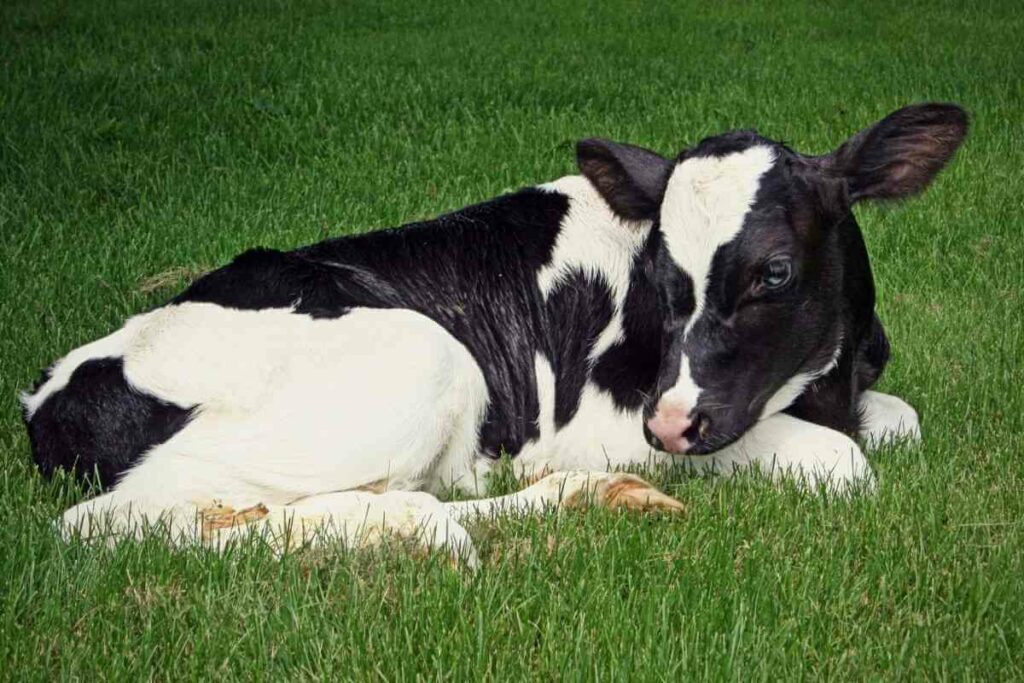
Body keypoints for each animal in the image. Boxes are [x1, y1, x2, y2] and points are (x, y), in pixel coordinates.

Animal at [21, 103, 967, 565]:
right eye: (661, 270)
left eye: (773, 271)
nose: (670, 426)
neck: (826, 377)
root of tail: (51, 391)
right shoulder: (611, 419)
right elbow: (844, 462)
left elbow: (902, 421)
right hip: (425, 358)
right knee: (111, 522)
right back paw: (417, 528)